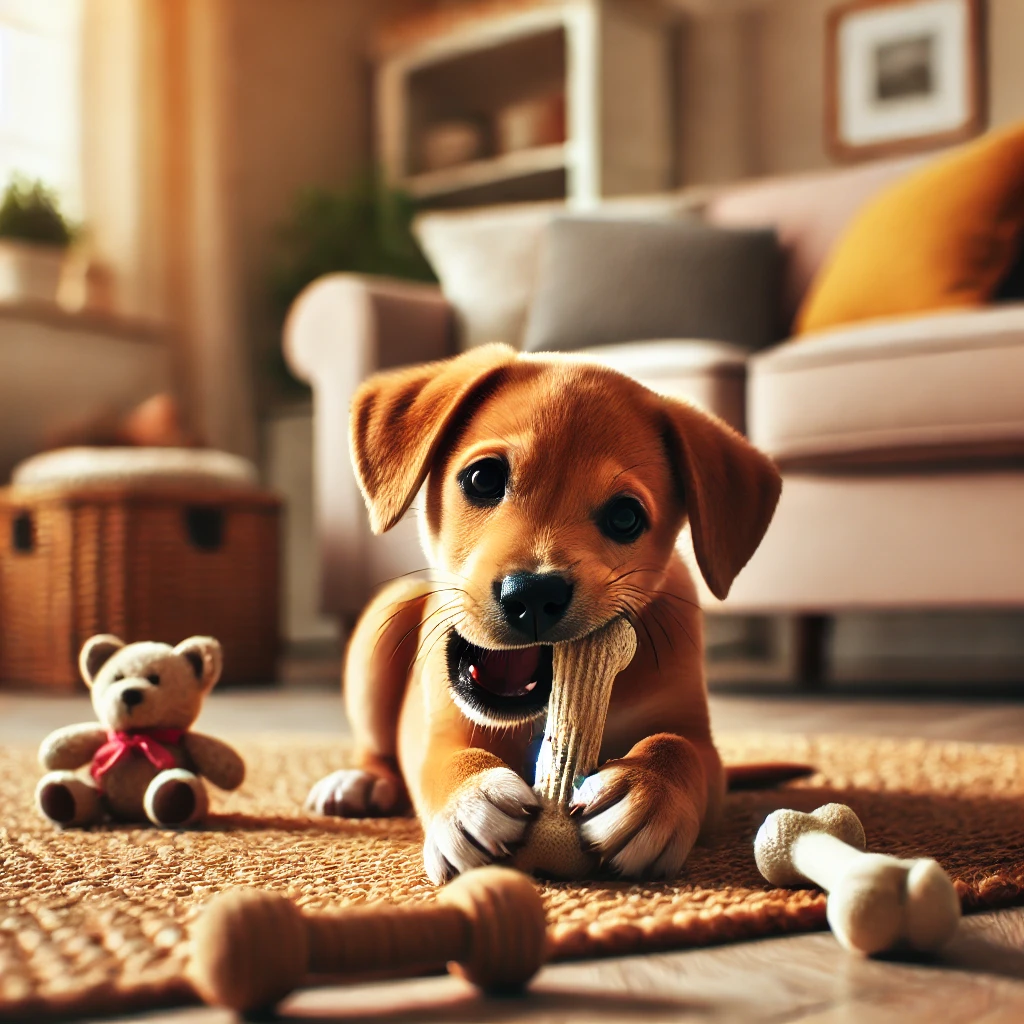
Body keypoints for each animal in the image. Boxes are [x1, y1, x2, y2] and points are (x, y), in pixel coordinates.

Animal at [307, 342, 778, 880]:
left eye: (626, 517)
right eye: (483, 478)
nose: (532, 595)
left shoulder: (699, 743)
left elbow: (677, 748)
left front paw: (649, 790)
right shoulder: (443, 729)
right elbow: (445, 760)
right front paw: (469, 800)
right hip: (382, 626)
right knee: (377, 748)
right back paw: (360, 781)